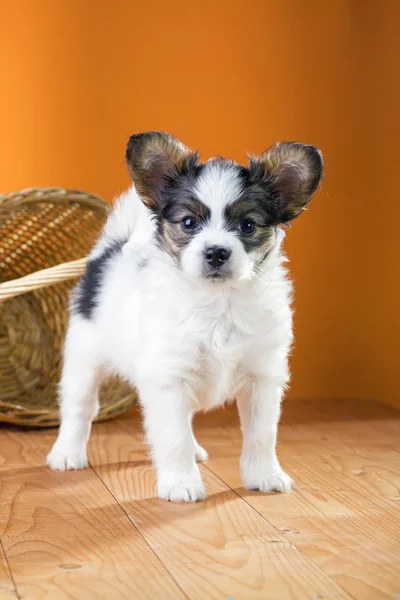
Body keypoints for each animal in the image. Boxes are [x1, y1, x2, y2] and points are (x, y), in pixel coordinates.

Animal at [47, 131, 324, 502]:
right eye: (189, 223)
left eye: (248, 225)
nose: (216, 252)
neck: (219, 302)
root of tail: (111, 251)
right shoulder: (168, 378)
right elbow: (172, 437)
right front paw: (181, 484)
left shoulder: (262, 377)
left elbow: (262, 435)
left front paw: (264, 476)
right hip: (84, 357)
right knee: (79, 408)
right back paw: (67, 453)